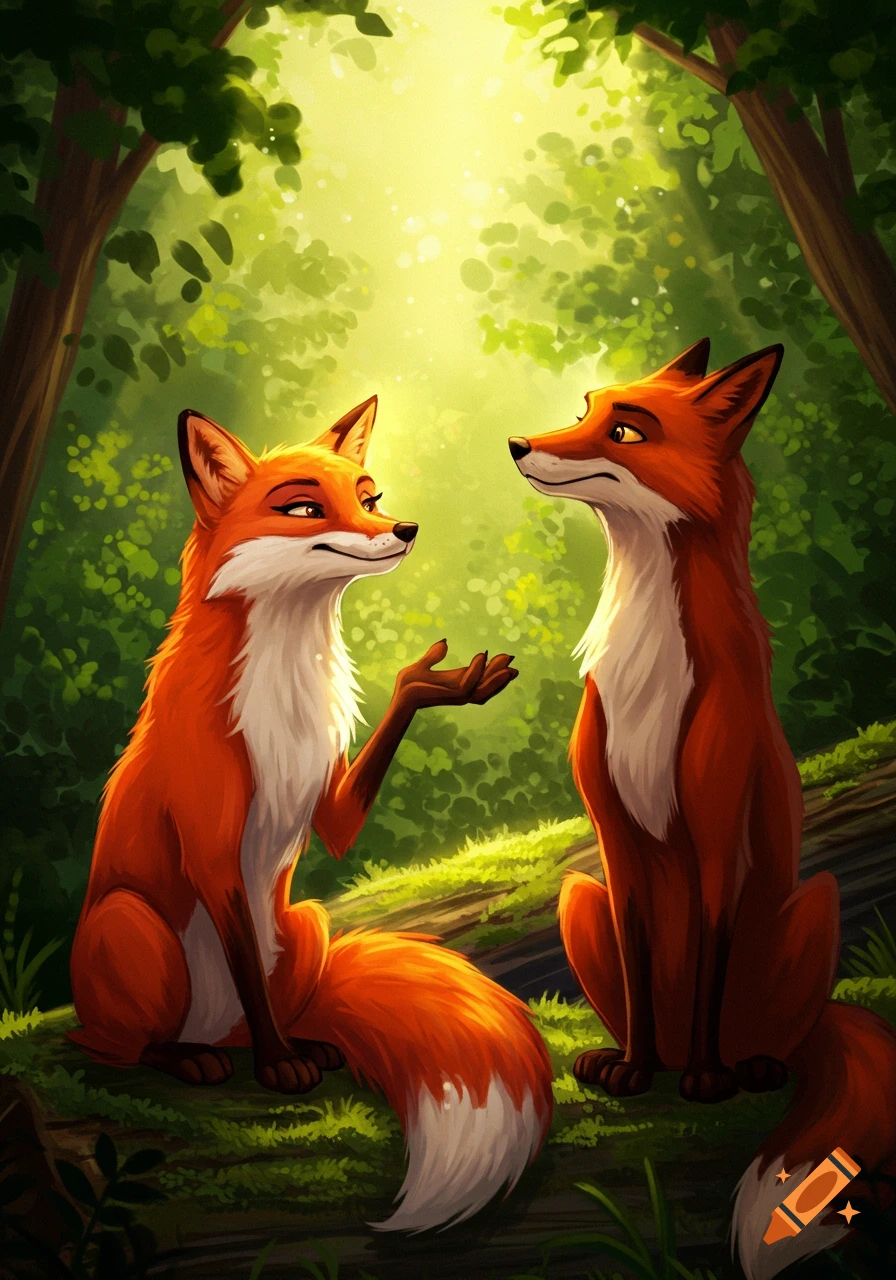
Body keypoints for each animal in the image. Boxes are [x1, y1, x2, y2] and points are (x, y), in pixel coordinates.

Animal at [69, 396, 553, 1231]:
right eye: (302, 508)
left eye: (372, 495)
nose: (405, 528)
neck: (283, 696)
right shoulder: (210, 846)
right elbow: (238, 956)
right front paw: (278, 1066)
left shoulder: (323, 807)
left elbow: (341, 822)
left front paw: (433, 684)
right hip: (134, 928)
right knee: (117, 1047)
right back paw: (190, 1057)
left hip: (304, 928)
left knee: (256, 1012)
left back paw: (299, 1043)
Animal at [509, 339, 896, 1278]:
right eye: (584, 407)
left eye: (624, 429)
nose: (517, 444)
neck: (649, 667)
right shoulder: (614, 844)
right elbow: (644, 963)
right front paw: (639, 1068)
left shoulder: (718, 830)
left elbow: (713, 956)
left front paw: (706, 1079)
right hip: (578, 899)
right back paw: (629, 1054)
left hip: (815, 903)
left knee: (779, 1035)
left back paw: (746, 1063)